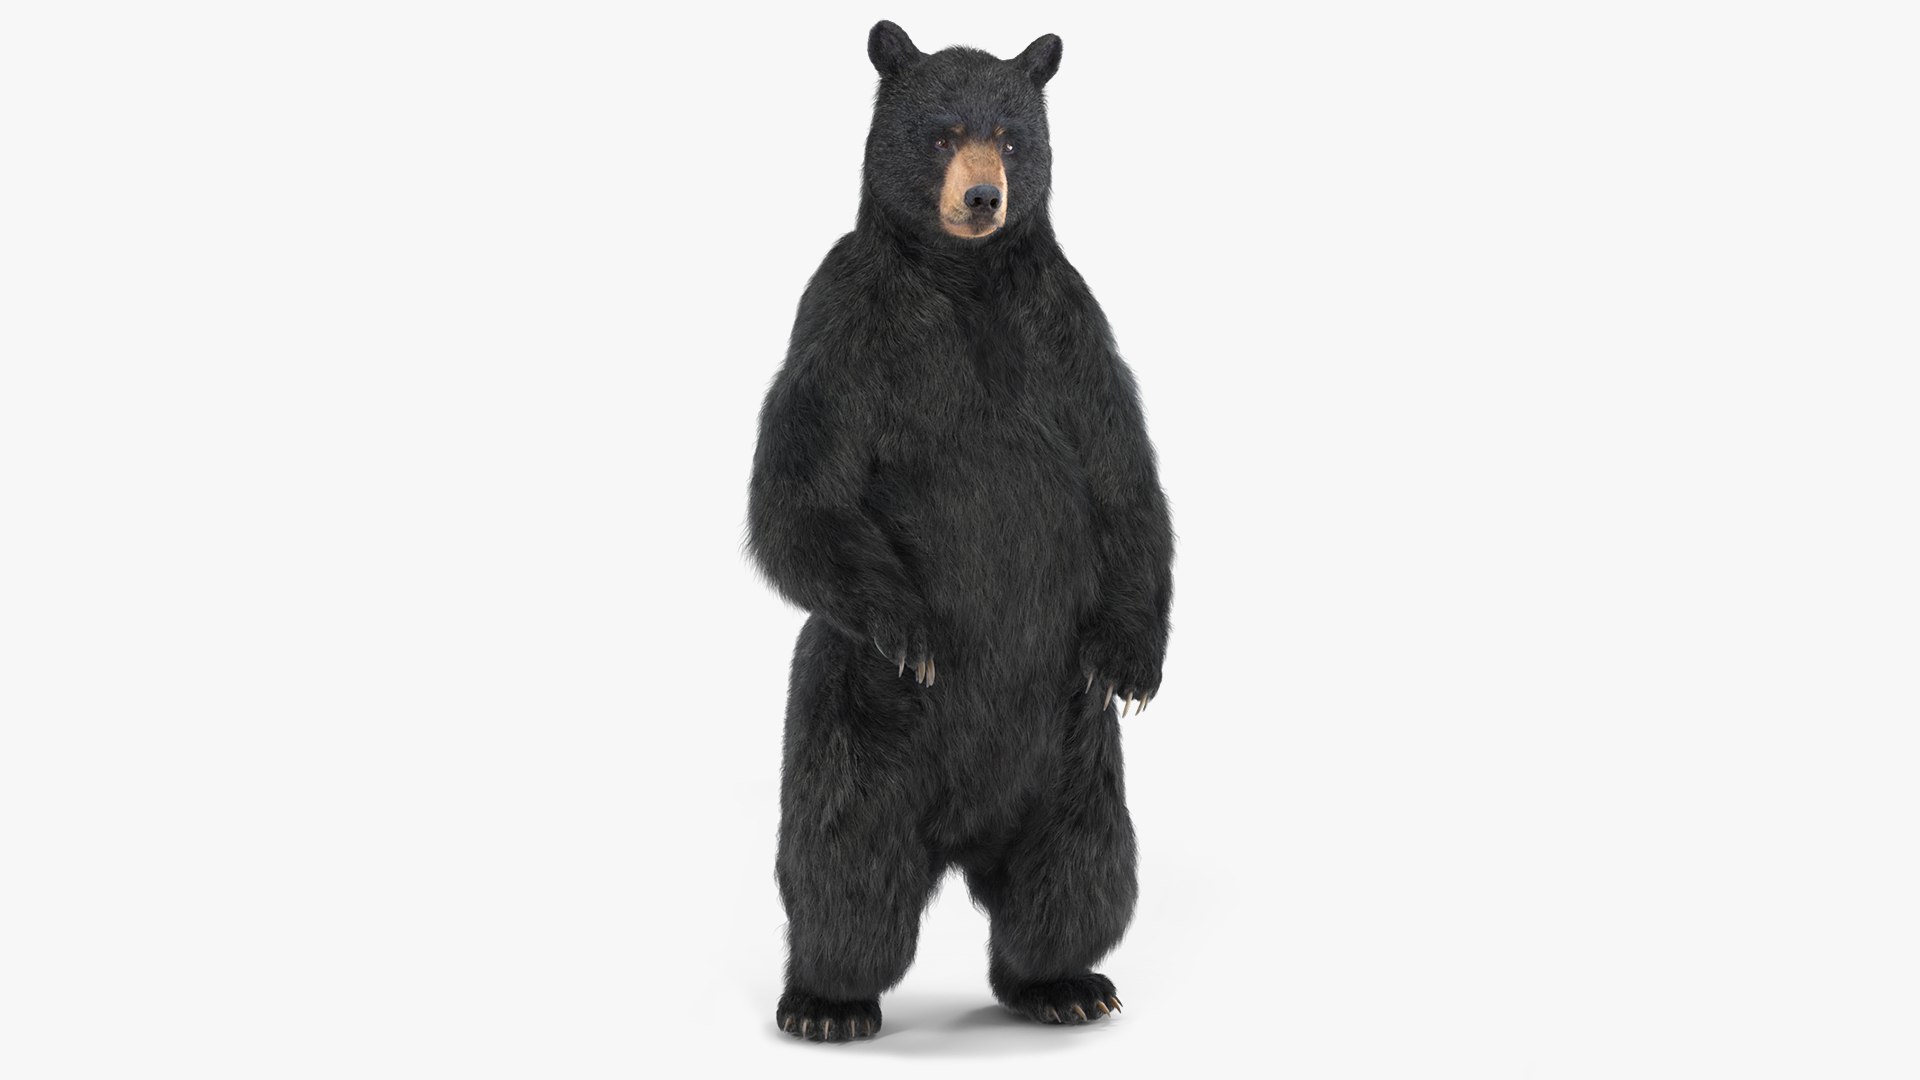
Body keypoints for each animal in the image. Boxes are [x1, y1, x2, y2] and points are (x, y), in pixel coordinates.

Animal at [746, 20, 1174, 1042]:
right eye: (942, 132)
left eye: (1012, 135)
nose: (984, 196)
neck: (965, 276)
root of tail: (963, 836)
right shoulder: (844, 316)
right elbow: (798, 492)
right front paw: (915, 629)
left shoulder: (1068, 326)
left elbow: (1124, 479)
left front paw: (1138, 665)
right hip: (853, 721)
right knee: (843, 868)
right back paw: (826, 1002)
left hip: (1075, 751)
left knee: (1079, 873)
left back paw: (1064, 983)